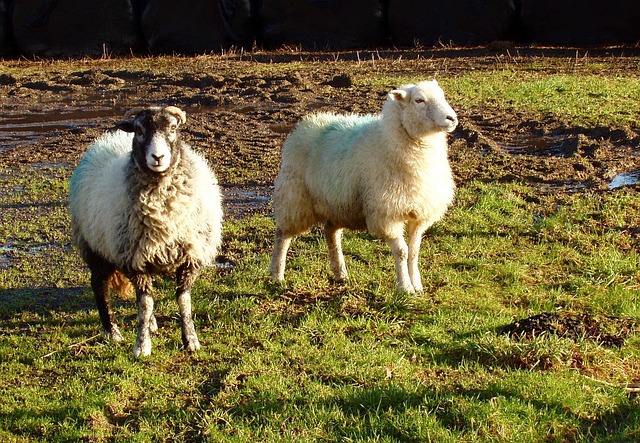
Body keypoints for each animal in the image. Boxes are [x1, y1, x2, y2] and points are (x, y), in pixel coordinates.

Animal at [69, 106, 223, 357]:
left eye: (173, 128)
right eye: (139, 131)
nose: (158, 157)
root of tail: (109, 139)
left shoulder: (190, 258)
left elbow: (183, 301)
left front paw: (190, 340)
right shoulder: (135, 260)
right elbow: (145, 304)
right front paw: (142, 346)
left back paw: (150, 323)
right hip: (95, 245)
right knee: (99, 284)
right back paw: (112, 331)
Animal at [269, 80, 458, 293]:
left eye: (442, 95)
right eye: (419, 100)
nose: (452, 118)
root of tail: (309, 122)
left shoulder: (419, 213)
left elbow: (414, 251)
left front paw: (417, 285)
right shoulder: (387, 214)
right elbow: (402, 251)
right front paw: (405, 287)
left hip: (336, 203)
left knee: (331, 233)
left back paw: (340, 273)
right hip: (295, 198)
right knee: (282, 236)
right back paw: (276, 275)